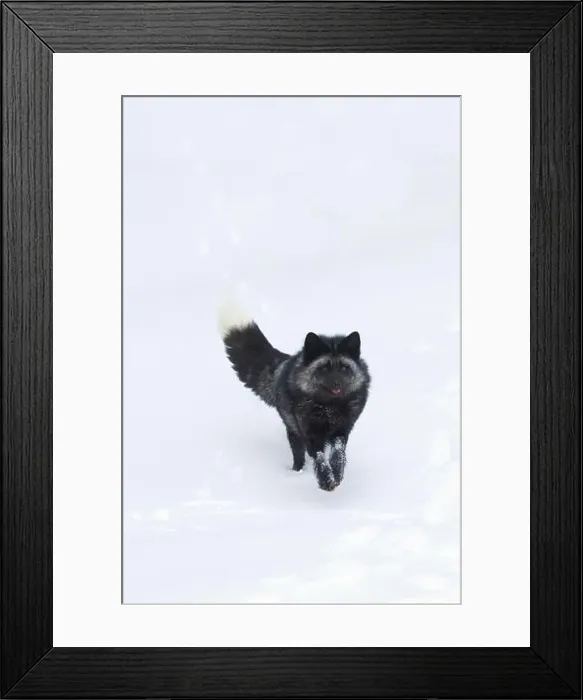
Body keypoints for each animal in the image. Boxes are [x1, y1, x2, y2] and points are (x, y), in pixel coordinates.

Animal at [219, 301, 370, 491]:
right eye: (324, 368)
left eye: (344, 368)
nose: (337, 384)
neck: (328, 408)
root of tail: (286, 363)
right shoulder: (310, 434)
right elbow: (319, 457)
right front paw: (326, 480)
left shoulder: (342, 431)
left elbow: (338, 454)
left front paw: (337, 474)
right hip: (293, 431)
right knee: (299, 456)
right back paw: (296, 472)